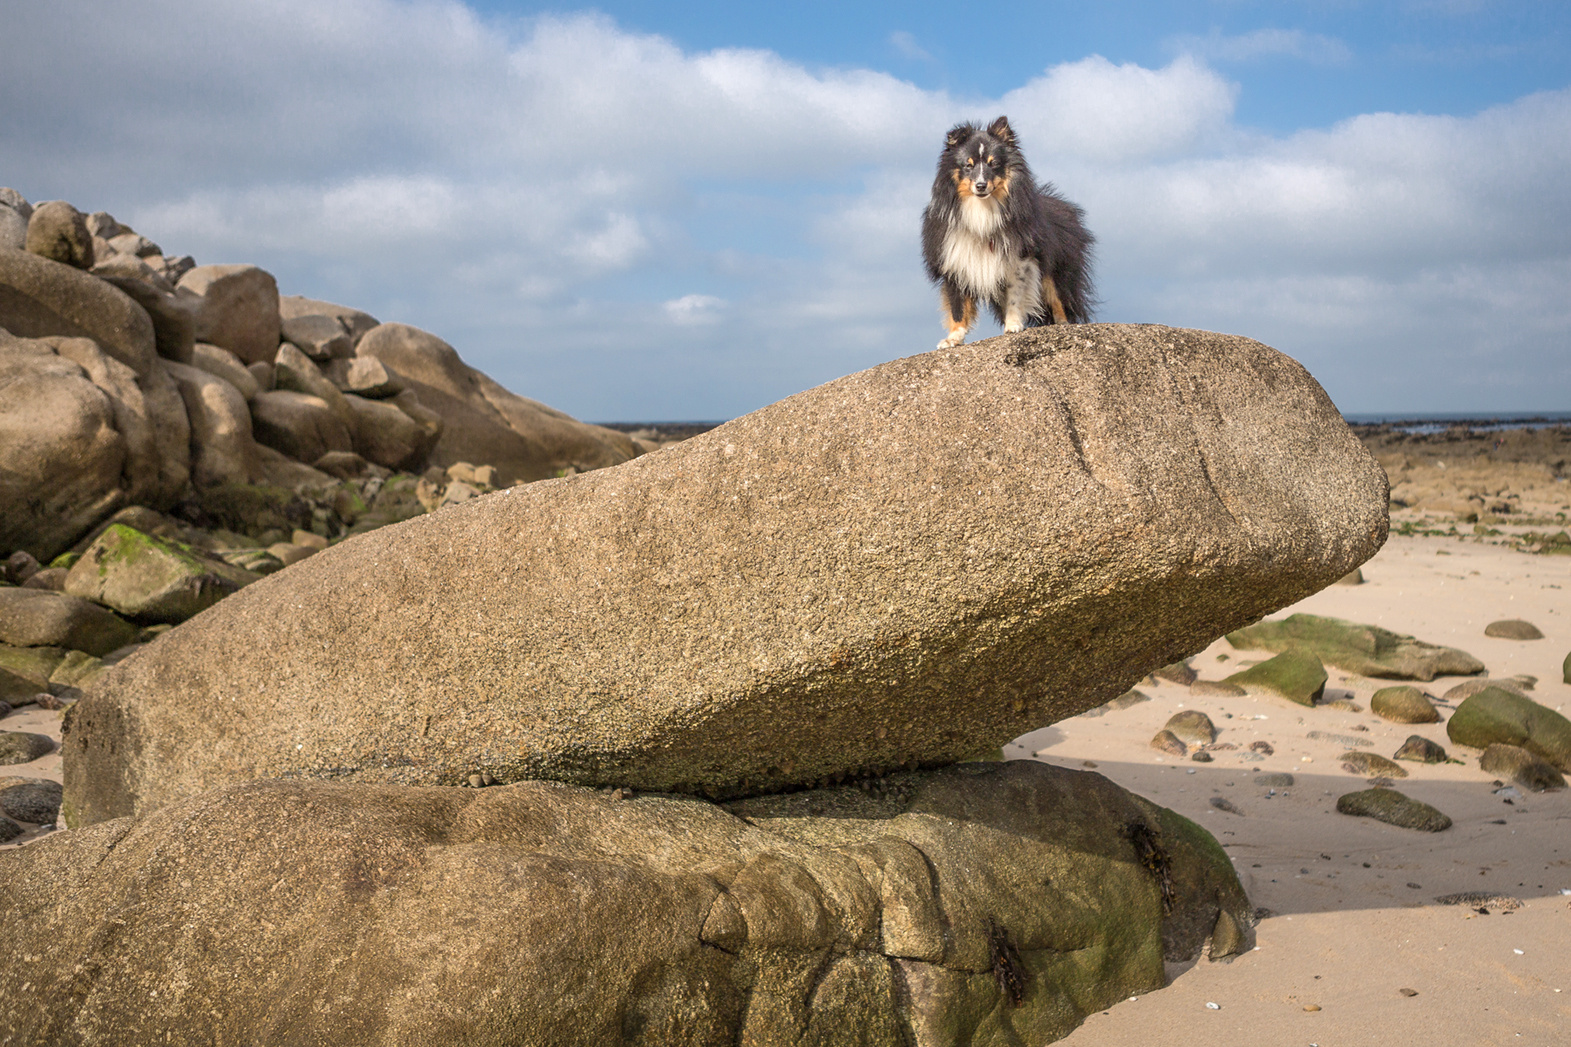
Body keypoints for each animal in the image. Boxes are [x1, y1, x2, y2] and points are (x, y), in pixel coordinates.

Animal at [917, 115, 1093, 345]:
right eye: (968, 165)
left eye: (994, 164)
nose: (981, 186)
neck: (982, 209)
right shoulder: (954, 257)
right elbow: (957, 304)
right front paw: (953, 338)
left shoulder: (1020, 257)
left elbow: (1015, 295)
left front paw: (1013, 326)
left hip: (1057, 269)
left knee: (1059, 299)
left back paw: (1063, 326)